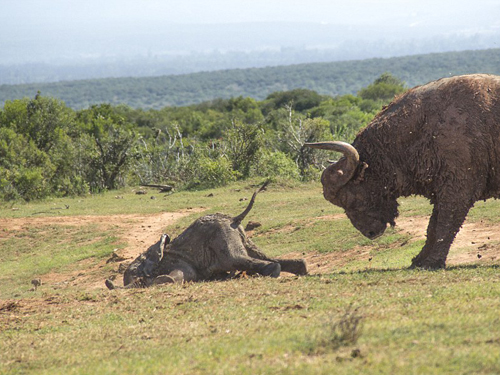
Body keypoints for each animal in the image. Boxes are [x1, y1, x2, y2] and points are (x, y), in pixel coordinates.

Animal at [107, 182, 306, 288]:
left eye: (134, 271)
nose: (109, 283)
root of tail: (234, 219)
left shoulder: (176, 260)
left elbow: (181, 274)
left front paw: (162, 280)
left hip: (223, 238)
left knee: (237, 259)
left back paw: (272, 273)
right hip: (239, 238)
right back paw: (300, 270)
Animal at [304, 74, 500, 270]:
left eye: (350, 198)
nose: (370, 233)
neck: (424, 124)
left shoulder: (457, 192)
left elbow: (445, 225)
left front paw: (432, 261)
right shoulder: (441, 192)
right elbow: (433, 227)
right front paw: (418, 260)